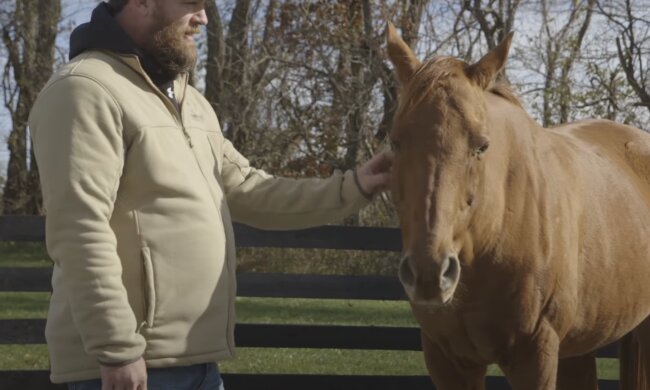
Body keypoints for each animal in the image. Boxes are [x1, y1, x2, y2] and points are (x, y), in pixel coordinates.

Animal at [384, 24, 648, 390]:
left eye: (482, 145)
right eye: (395, 142)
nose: (429, 271)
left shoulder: (534, 356)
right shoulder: (448, 361)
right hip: (577, 347)